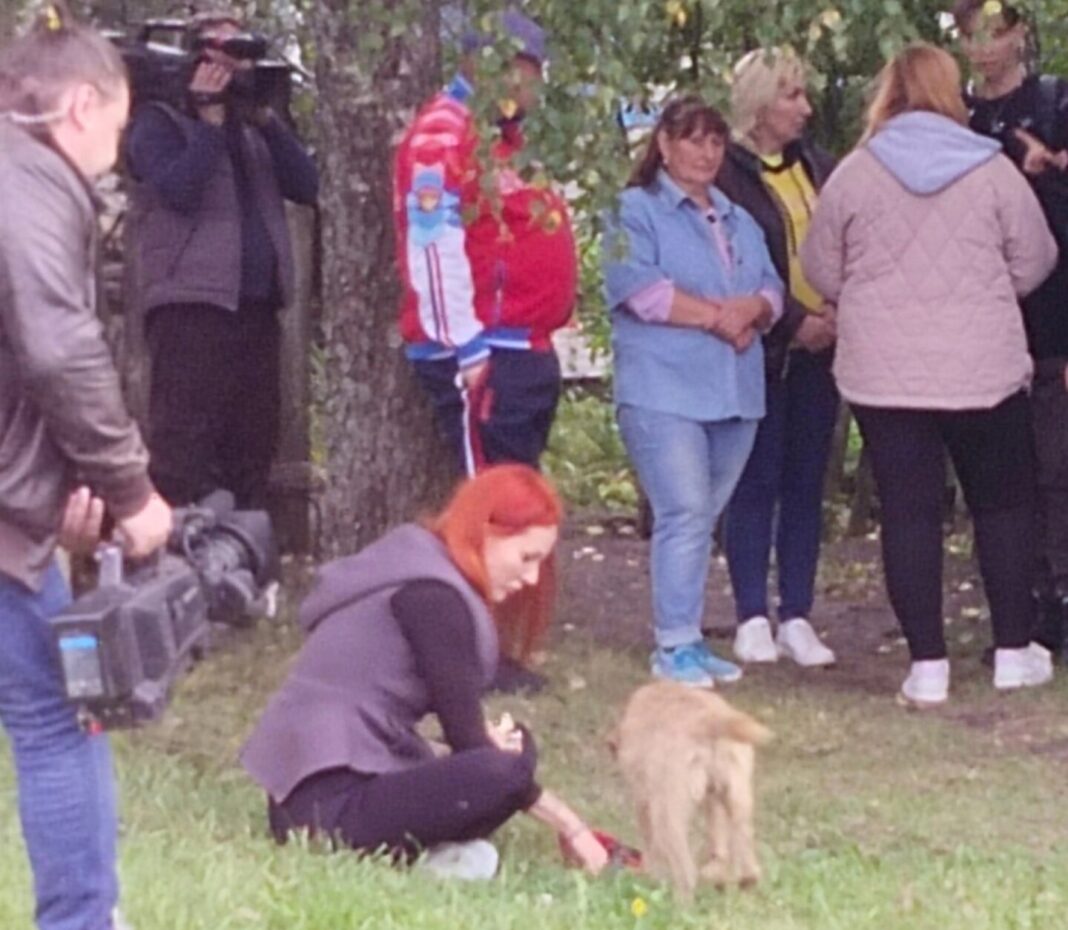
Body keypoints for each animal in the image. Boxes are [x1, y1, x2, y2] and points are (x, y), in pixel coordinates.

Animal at [610, 683, 777, 901]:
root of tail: (707, 721)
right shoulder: (713, 799)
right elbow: (719, 842)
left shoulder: (644, 801)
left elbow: (651, 848)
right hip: (739, 801)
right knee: (749, 864)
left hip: (668, 815)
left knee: (686, 873)